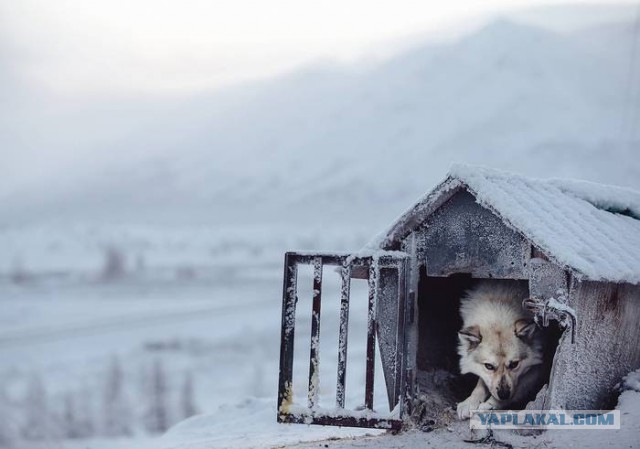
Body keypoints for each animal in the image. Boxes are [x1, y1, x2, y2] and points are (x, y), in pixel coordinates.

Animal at [456, 282, 544, 418]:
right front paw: (470, 401)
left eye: (514, 364)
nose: (503, 394)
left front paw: (490, 404)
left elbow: (517, 390)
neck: (500, 303)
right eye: (489, 366)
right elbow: (481, 383)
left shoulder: (536, 370)